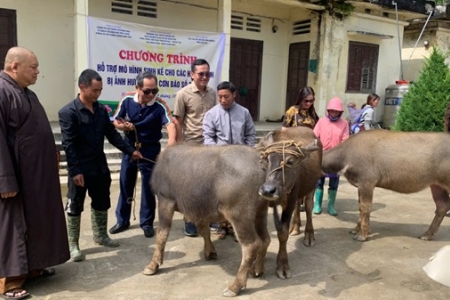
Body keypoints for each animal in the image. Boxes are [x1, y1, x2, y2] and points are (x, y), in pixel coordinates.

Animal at [322, 130, 450, 243]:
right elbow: (360, 207)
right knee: (442, 206)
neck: (347, 155)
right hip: (436, 186)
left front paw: (362, 235)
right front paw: (357, 229)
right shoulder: (360, 185)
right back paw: (427, 235)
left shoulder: (367, 183)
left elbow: (365, 207)